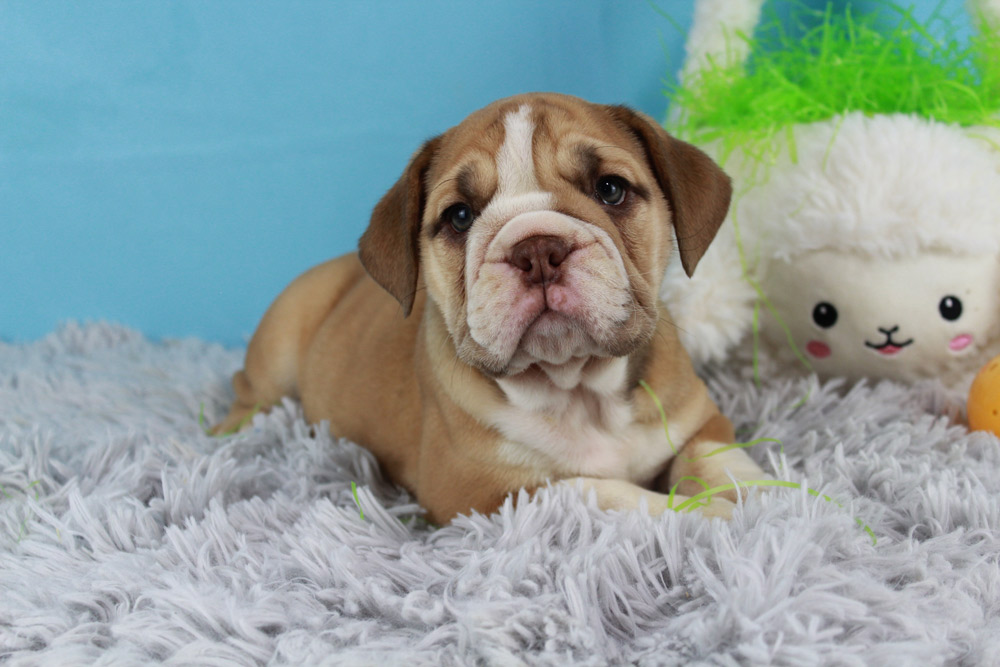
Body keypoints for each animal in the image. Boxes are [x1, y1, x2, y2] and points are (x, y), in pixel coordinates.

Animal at [215, 92, 766, 524]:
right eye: (460, 217)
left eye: (610, 189)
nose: (537, 249)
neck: (576, 389)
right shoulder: (486, 493)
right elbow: (603, 491)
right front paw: (703, 512)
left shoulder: (700, 423)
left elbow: (725, 463)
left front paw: (770, 502)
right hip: (277, 349)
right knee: (248, 393)